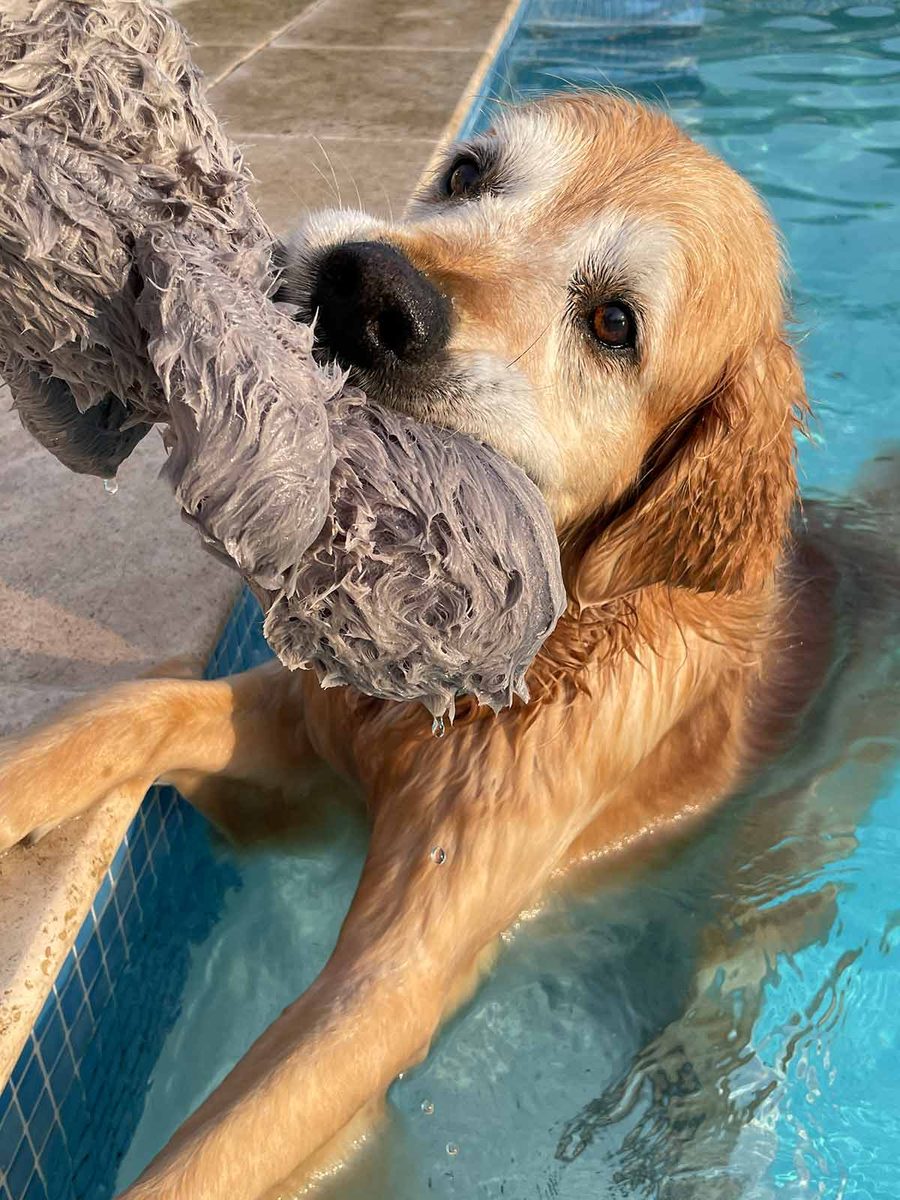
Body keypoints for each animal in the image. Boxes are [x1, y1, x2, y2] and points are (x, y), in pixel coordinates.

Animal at [0, 92, 819, 1198]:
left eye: (614, 324)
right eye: (467, 173)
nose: (366, 289)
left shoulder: (394, 977)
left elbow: (216, 1155)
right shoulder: (308, 733)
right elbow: (132, 707)